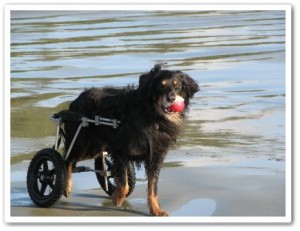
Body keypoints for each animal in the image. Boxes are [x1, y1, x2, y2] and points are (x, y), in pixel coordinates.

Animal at [61, 64, 198, 216]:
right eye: (161, 86)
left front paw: (155, 209)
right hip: (85, 144)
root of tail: (75, 101)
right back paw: (66, 186)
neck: (151, 116)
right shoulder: (120, 150)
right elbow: (124, 183)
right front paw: (117, 198)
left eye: (177, 85)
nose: (171, 98)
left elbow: (152, 187)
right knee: (66, 159)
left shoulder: (155, 157)